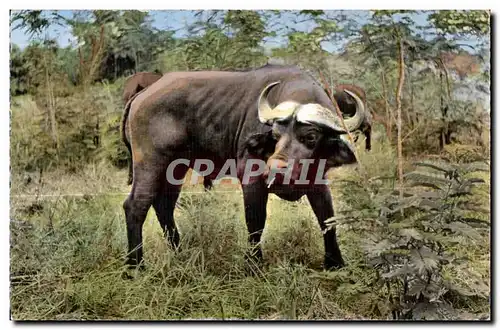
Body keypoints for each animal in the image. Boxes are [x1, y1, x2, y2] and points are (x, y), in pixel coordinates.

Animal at [119, 64, 366, 270]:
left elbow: (327, 219)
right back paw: (136, 265)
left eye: (311, 136)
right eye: (275, 135)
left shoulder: (318, 181)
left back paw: (179, 252)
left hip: (175, 169)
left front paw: (335, 262)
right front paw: (254, 263)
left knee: (164, 205)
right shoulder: (251, 179)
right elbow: (256, 221)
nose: (275, 171)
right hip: (150, 164)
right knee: (136, 206)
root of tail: (142, 94)